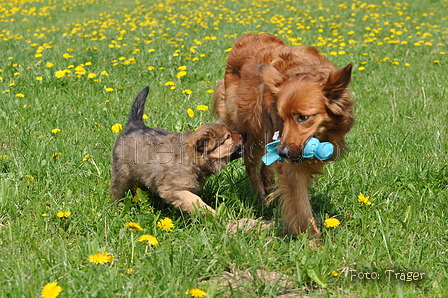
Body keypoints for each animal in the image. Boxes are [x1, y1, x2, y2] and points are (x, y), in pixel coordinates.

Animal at [110, 86, 247, 214]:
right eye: (228, 137)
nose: (245, 133)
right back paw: (116, 208)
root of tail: (135, 125)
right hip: (122, 174)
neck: (193, 160)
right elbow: (196, 201)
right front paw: (214, 214)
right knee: (115, 191)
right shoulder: (174, 190)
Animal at [212, 33, 356, 236]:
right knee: (251, 167)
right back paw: (262, 200)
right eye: (281, 117)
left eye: (303, 117)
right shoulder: (291, 166)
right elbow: (301, 206)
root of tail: (247, 36)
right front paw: (313, 240)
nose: (283, 153)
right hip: (249, 131)